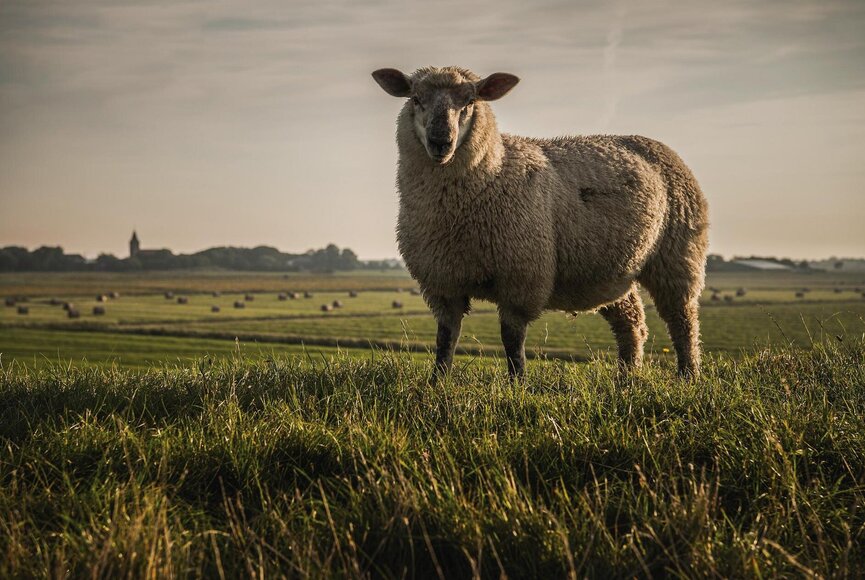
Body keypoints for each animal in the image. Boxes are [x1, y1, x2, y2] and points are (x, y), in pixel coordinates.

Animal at [373, 66, 709, 379]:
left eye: (470, 101)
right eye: (416, 99)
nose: (441, 141)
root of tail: (655, 144)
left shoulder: (521, 278)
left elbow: (512, 340)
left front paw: (517, 384)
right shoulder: (442, 283)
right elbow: (445, 338)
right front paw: (438, 381)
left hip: (678, 256)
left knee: (682, 321)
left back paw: (688, 375)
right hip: (611, 270)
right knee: (632, 322)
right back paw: (627, 376)